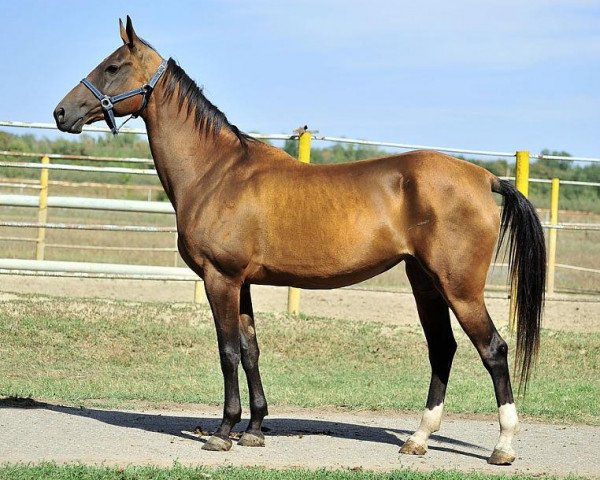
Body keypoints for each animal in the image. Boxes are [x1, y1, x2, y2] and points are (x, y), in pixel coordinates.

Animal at [54, 15, 548, 464]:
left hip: (459, 288)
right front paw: (254, 428)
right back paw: (418, 439)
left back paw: (503, 446)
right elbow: (251, 350)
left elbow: (227, 351)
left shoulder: (221, 279)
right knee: (442, 348)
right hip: (424, 281)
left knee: (493, 350)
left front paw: (224, 431)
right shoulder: (242, 284)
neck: (217, 171)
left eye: (113, 66)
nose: (61, 112)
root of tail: (483, 177)